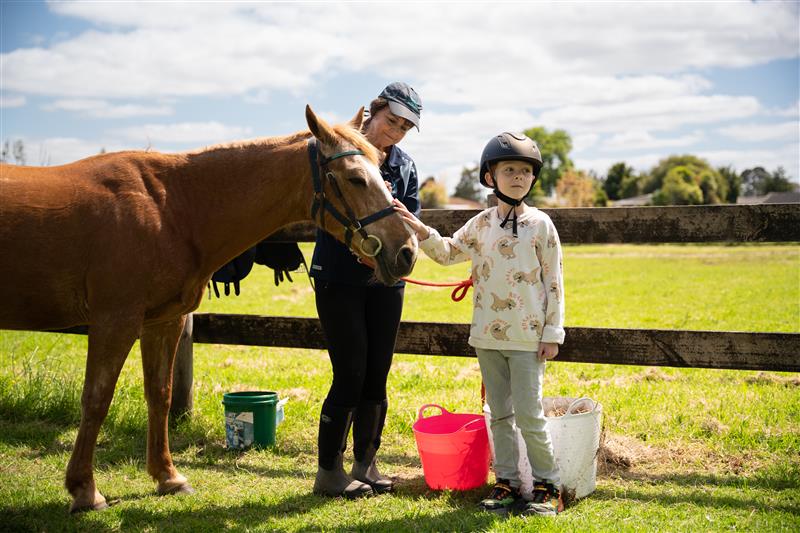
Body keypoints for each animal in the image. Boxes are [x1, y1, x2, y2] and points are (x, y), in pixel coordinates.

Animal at [0, 105, 418, 513]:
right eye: (356, 179)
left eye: (384, 176)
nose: (407, 250)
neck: (168, 208)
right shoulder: (113, 321)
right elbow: (97, 399)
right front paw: (85, 491)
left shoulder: (162, 322)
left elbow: (161, 394)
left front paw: (168, 478)